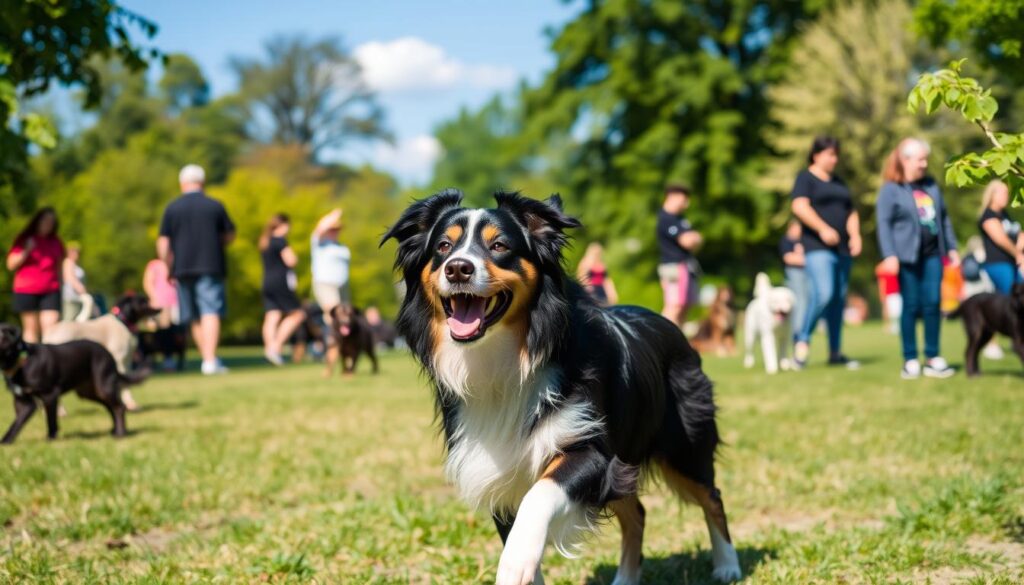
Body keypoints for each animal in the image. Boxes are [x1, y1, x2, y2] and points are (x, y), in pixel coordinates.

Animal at [0, 323, 146, 442]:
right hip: (88, 392)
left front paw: (51, 438)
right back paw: (114, 430)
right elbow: (16, 423)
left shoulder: (50, 394)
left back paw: (120, 433)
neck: (20, 361)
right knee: (109, 406)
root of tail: (108, 353)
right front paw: (6, 442)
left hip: (104, 385)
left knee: (119, 407)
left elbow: (51, 420)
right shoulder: (22, 401)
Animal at [380, 189, 741, 581]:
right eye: (443, 246)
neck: (505, 360)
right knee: (638, 513)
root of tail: (673, 326)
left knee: (712, 496)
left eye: (499, 245)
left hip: (684, 445)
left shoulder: (593, 450)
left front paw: (515, 562)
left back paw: (727, 566)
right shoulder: (497, 470)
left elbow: (539, 495)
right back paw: (626, 579)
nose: (458, 267)